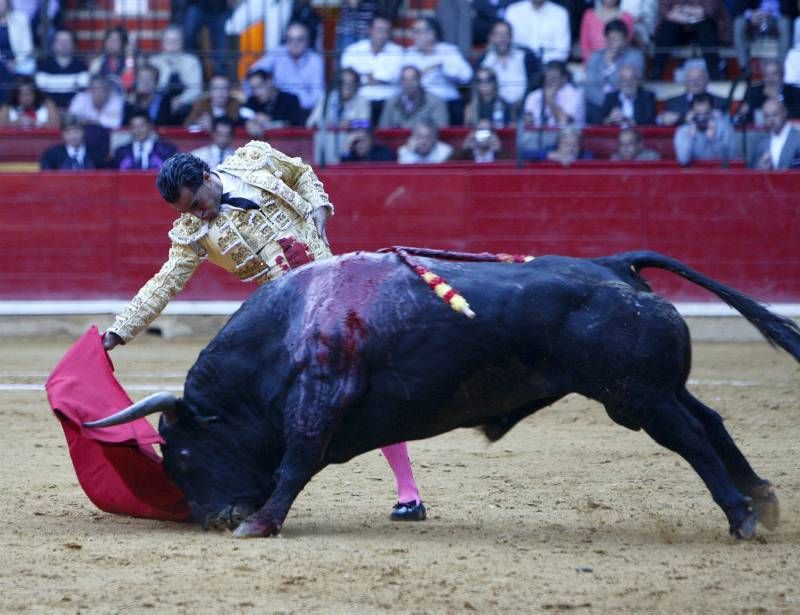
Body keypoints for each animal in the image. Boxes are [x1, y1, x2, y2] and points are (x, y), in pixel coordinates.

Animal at [89, 250, 800, 540]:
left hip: (637, 395)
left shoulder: (319, 400)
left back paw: (741, 518)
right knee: (711, 422)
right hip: (650, 392)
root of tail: (616, 266)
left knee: (694, 440)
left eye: (180, 457)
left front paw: (260, 524)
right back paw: (762, 501)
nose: (213, 519)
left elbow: (296, 461)